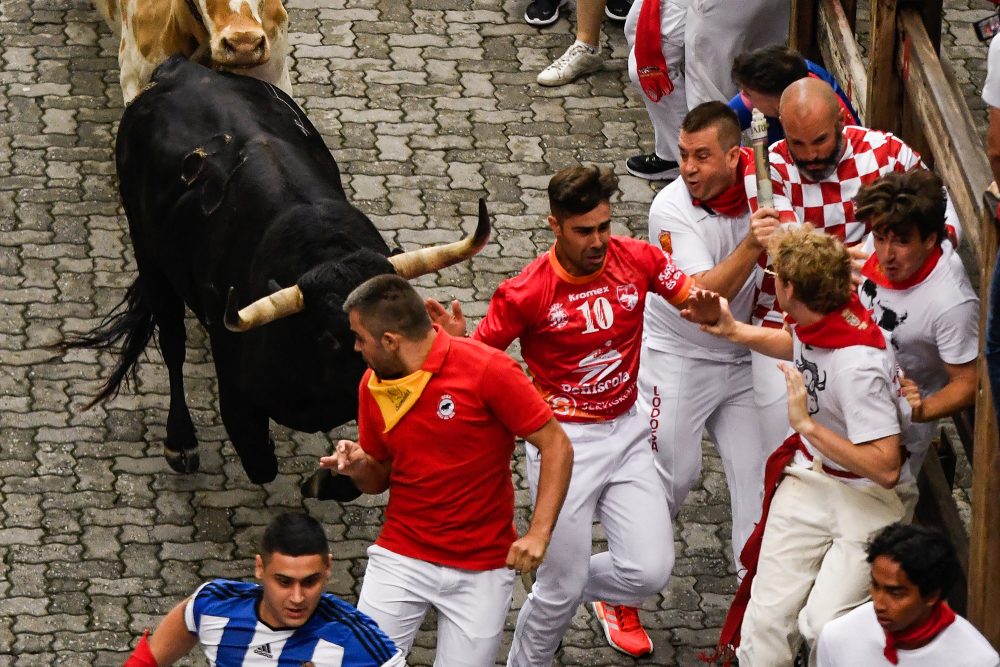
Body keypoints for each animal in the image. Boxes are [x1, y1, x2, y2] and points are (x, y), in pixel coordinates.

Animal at [68, 54, 490, 488]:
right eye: (336, 337)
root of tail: (183, 69)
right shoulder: (238, 399)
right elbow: (261, 463)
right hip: (149, 257)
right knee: (171, 342)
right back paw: (180, 441)